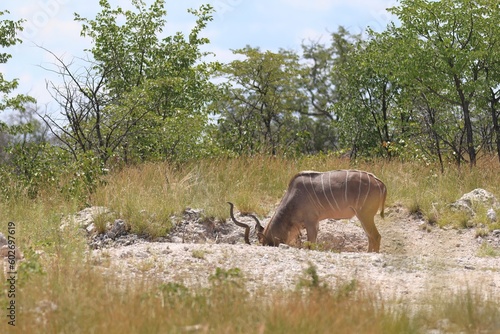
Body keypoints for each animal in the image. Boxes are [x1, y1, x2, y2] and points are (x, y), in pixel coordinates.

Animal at [228, 171, 386, 252]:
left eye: (263, 243)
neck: (293, 196)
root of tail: (380, 183)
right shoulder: (311, 224)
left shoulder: (311, 222)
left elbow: (311, 244)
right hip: (363, 216)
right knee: (371, 237)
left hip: (364, 215)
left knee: (376, 236)